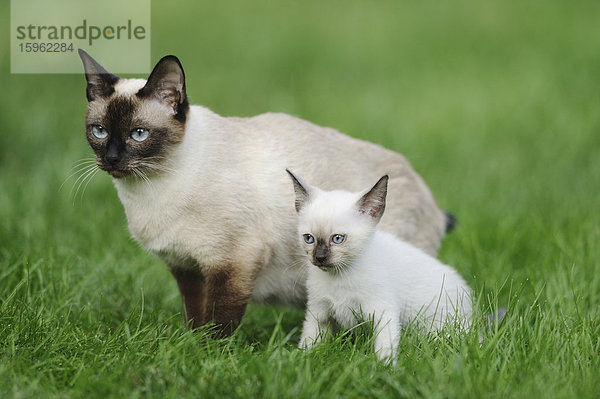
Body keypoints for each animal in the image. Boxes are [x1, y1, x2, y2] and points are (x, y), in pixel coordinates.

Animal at [76, 50, 450, 338]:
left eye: (138, 134)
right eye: (99, 131)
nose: (112, 159)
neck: (150, 190)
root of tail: (425, 191)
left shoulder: (233, 261)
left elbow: (218, 324)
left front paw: (208, 356)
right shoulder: (188, 268)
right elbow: (196, 318)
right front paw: (190, 347)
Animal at [288, 170, 472, 364]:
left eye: (337, 239)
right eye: (309, 238)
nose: (319, 257)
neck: (340, 276)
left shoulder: (383, 312)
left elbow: (385, 348)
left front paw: (383, 367)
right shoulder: (319, 313)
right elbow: (309, 342)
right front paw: (299, 359)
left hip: (440, 328)